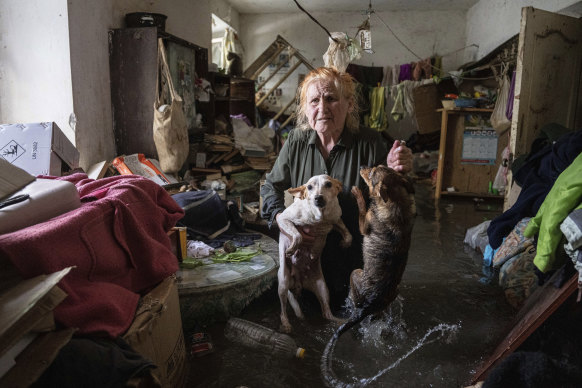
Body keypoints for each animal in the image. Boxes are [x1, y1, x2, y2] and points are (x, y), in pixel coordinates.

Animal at [278, 174, 354, 332]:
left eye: (328, 184)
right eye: (309, 187)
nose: (318, 198)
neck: (320, 217)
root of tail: (298, 283)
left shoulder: (335, 220)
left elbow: (347, 232)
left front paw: (345, 243)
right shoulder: (284, 219)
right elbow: (298, 235)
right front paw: (292, 249)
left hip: (323, 289)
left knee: (326, 313)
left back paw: (340, 322)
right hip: (283, 284)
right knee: (283, 311)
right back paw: (286, 324)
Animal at [322, 165, 418, 386]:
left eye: (372, 172)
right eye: (379, 167)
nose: (363, 167)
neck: (396, 201)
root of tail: (368, 306)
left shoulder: (365, 225)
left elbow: (363, 208)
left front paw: (358, 193)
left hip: (355, 273)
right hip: (392, 293)